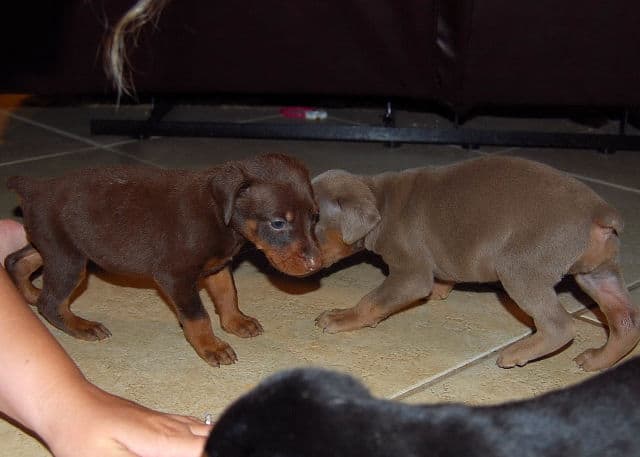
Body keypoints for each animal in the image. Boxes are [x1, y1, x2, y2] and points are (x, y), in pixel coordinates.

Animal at [6, 153, 320, 366]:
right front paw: (211, 346)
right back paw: (81, 326)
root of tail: (34, 188)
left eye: (314, 217)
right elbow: (197, 316)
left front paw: (236, 322)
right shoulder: (175, 276)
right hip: (69, 259)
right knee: (51, 302)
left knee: (17, 260)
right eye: (278, 223)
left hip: (57, 246)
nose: (315, 264)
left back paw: (30, 293)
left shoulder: (217, 267)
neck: (219, 213)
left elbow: (228, 294)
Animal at [312, 157, 640, 370]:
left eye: (310, 223)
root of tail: (599, 211)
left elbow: (374, 300)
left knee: (560, 325)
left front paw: (342, 317)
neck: (380, 199)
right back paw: (598, 360)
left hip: (518, 267)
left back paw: (517, 353)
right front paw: (441, 289)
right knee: (626, 320)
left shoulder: (410, 272)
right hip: (597, 272)